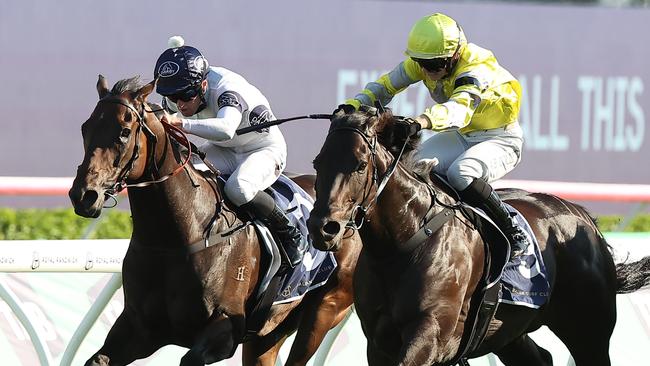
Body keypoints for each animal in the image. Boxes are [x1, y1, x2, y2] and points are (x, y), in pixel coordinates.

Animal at [69, 75, 362, 366]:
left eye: (124, 132)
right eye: (85, 128)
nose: (83, 195)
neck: (177, 236)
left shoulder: (226, 327)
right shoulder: (139, 328)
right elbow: (98, 360)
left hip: (324, 309)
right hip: (268, 331)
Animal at [306, 108, 648, 366]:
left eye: (361, 165)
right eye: (317, 162)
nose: (324, 227)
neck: (406, 239)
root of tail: (583, 217)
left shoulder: (430, 333)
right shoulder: (379, 342)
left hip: (589, 331)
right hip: (507, 331)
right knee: (541, 357)